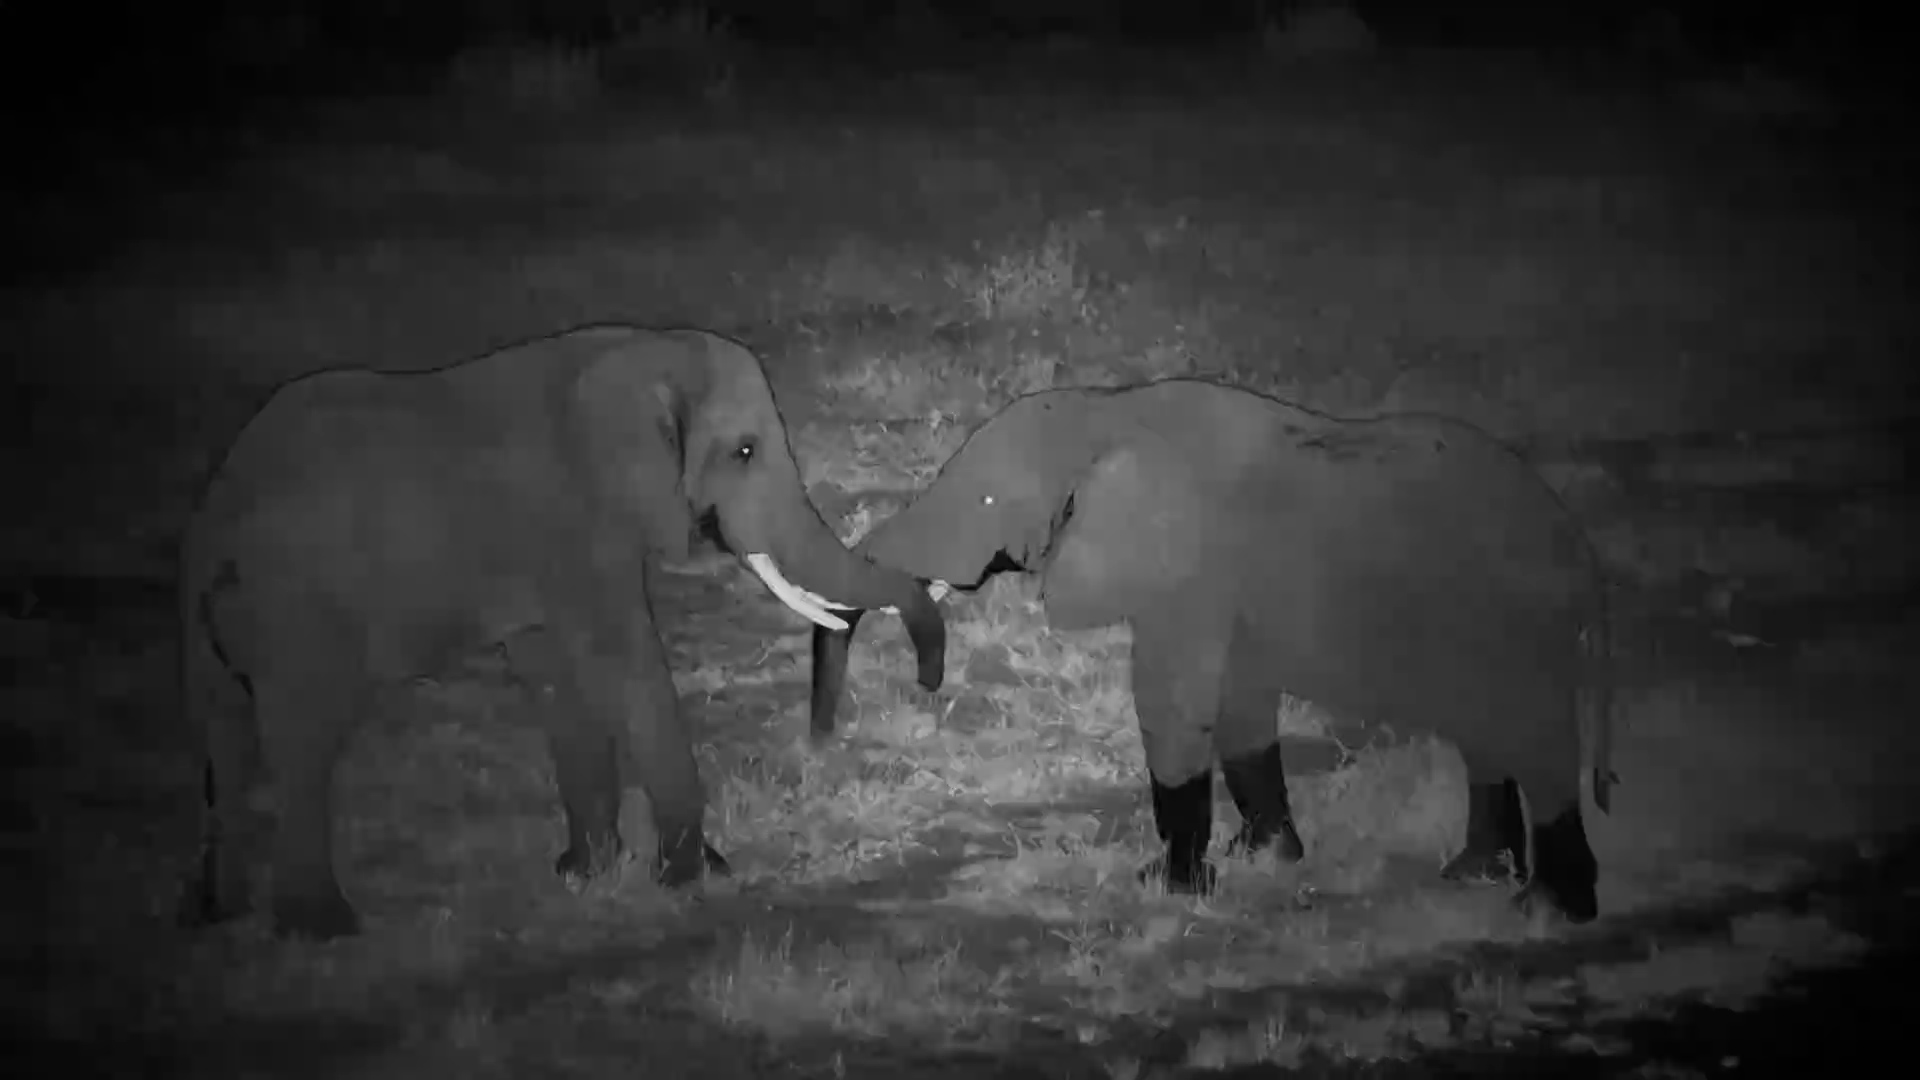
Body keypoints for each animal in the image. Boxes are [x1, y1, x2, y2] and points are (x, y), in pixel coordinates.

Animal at [179, 325, 947, 939]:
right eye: (746, 451)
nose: (929, 679)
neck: (643, 349)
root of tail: (218, 522)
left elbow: (554, 672)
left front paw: (585, 874)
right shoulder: (578, 521)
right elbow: (621, 656)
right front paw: (692, 876)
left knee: (226, 736)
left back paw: (221, 915)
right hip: (299, 612)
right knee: (303, 742)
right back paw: (323, 929)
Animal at [811, 379, 1614, 923]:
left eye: (984, 502)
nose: (822, 739)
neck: (1109, 412)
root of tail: (1584, 551)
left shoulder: (1191, 579)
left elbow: (1172, 702)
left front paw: (1167, 888)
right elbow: (1242, 709)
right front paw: (1262, 860)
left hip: (1520, 625)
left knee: (1535, 739)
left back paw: (1549, 909)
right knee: (1488, 735)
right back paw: (1474, 876)